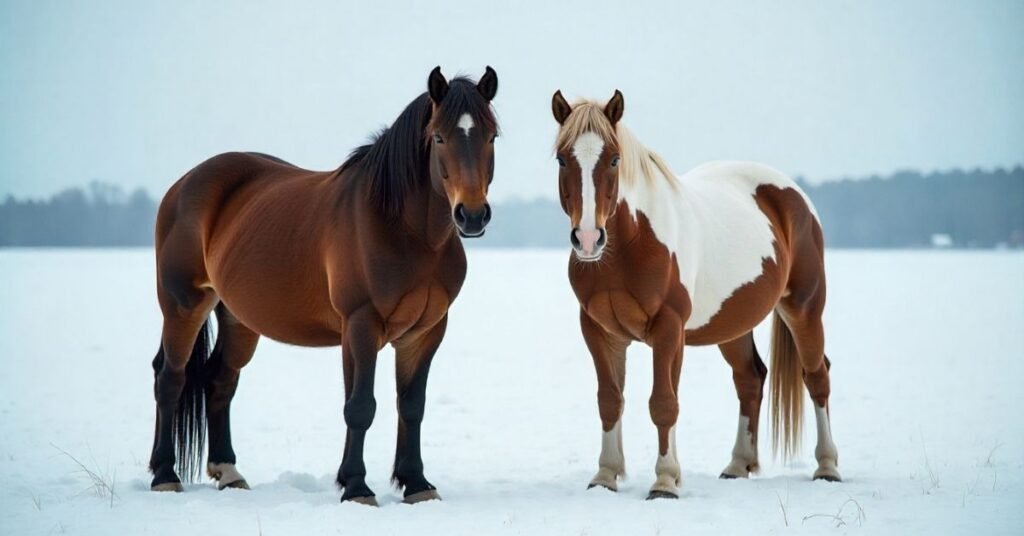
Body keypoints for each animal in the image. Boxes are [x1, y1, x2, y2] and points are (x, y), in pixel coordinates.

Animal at [148, 66, 499, 506]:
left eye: (491, 136)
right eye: (438, 137)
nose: (472, 215)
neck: (404, 230)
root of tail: (183, 185)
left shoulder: (426, 332)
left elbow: (412, 406)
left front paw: (417, 484)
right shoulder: (361, 325)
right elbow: (360, 406)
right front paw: (357, 487)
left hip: (238, 317)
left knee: (219, 379)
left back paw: (228, 472)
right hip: (184, 305)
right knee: (170, 379)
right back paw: (164, 475)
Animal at [549, 90, 840, 500]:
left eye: (614, 158)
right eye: (562, 158)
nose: (589, 238)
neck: (629, 246)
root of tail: (794, 194)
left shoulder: (668, 328)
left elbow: (663, 402)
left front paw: (665, 481)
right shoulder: (599, 330)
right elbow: (610, 400)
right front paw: (606, 475)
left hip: (804, 308)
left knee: (817, 377)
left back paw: (827, 466)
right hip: (733, 325)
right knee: (750, 379)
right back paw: (737, 465)